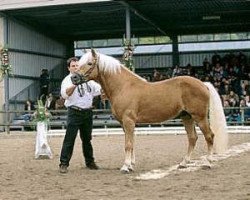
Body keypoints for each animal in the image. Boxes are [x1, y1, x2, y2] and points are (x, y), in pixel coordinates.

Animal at [75, 49, 229, 173]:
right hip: (187, 117)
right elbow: (131, 142)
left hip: (200, 117)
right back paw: (183, 163)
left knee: (209, 136)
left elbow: (128, 144)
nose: (74, 77)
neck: (123, 86)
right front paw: (131, 165)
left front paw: (125, 167)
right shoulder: (124, 123)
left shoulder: (128, 121)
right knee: (192, 138)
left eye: (89, 63)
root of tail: (203, 84)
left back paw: (207, 163)